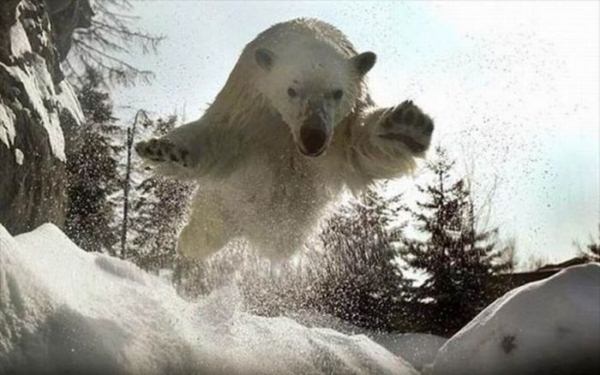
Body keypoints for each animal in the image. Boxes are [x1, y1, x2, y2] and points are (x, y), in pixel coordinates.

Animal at [135, 19, 434, 262]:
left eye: (336, 92)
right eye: (292, 89)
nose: (313, 137)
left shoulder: (340, 128)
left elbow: (358, 148)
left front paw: (407, 126)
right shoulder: (248, 106)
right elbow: (219, 138)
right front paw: (162, 149)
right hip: (222, 203)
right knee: (204, 231)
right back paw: (185, 248)